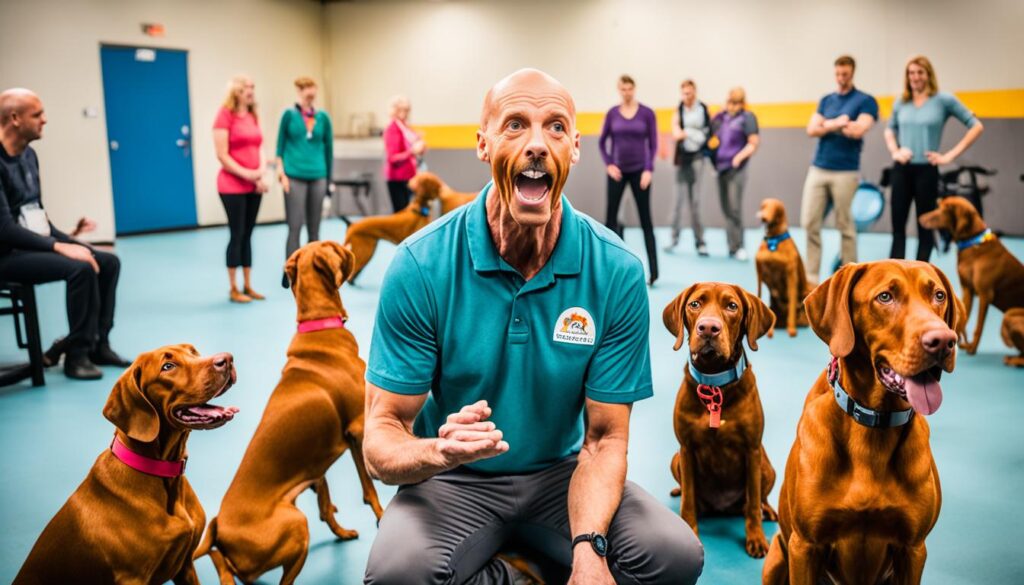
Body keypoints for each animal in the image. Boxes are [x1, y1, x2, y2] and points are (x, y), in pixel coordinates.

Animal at [14, 346, 238, 581]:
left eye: (194, 352)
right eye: (168, 366)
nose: (227, 359)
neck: (164, 477)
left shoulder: (185, 565)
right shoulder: (133, 577)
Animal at [193, 241, 382, 585]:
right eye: (336, 247)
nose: (348, 245)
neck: (318, 326)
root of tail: (218, 527)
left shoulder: (323, 461)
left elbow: (326, 501)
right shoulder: (359, 430)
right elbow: (370, 490)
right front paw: (382, 517)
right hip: (295, 522)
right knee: (235, 566)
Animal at [663, 282, 774, 557]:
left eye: (732, 306)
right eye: (695, 304)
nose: (708, 328)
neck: (715, 385)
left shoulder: (752, 450)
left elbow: (753, 504)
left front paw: (756, 539)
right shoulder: (686, 449)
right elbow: (688, 502)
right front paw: (689, 530)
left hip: (766, 466)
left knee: (759, 499)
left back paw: (768, 510)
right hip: (676, 460)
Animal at [761, 262, 966, 585]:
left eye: (939, 295)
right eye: (885, 297)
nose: (944, 341)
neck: (874, 426)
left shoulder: (913, 549)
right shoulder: (804, 546)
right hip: (778, 558)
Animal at [917, 195, 1019, 356]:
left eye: (942, 210)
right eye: (939, 206)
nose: (920, 218)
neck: (973, 242)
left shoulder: (985, 295)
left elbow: (978, 327)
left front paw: (972, 348)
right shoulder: (967, 290)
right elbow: (963, 318)